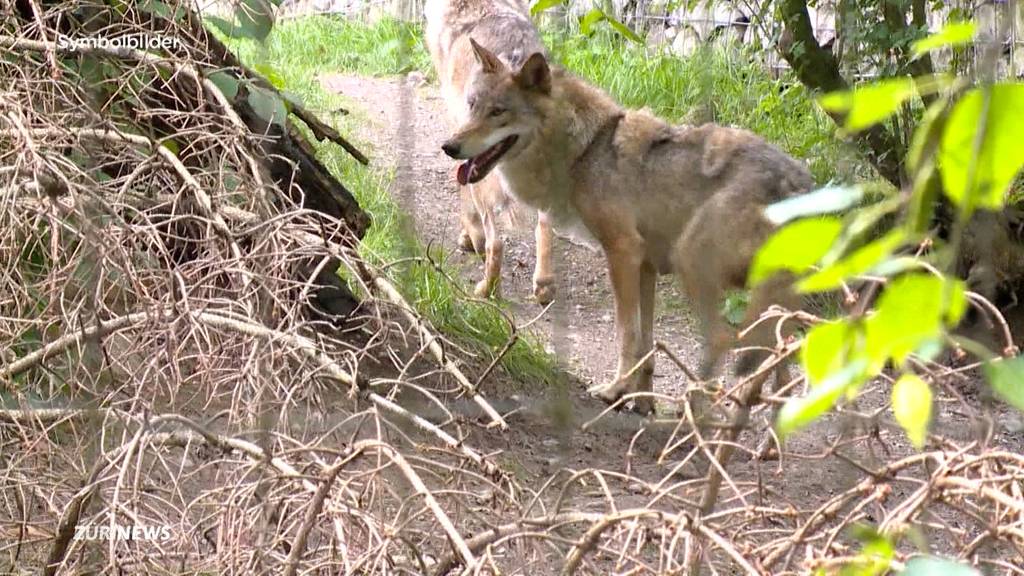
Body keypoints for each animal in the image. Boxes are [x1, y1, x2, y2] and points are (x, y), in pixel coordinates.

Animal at [421, 0, 557, 303]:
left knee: (496, 242)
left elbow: (462, 194)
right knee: (543, 227)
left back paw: (487, 288)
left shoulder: (457, 132)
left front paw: (466, 237)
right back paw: (544, 285)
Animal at [440, 44, 815, 412]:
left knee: (729, 341)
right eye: (473, 107)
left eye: (498, 112)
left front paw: (616, 390)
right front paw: (643, 399)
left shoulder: (623, 251)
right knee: (779, 348)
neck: (585, 150)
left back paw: (702, 408)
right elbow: (645, 342)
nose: (449, 146)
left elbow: (626, 334)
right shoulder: (646, 265)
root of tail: (799, 184)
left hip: (693, 263)